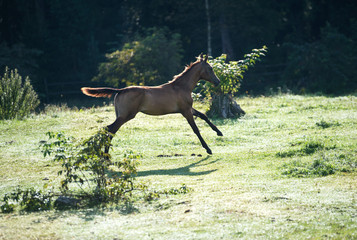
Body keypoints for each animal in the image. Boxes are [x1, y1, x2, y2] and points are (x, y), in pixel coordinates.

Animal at [81, 54, 222, 154]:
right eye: (210, 68)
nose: (218, 81)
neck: (181, 87)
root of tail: (120, 90)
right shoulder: (185, 111)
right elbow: (196, 129)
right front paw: (208, 149)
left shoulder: (187, 108)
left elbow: (203, 115)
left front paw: (219, 133)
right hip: (126, 115)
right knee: (110, 129)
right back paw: (105, 156)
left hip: (120, 115)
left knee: (108, 129)